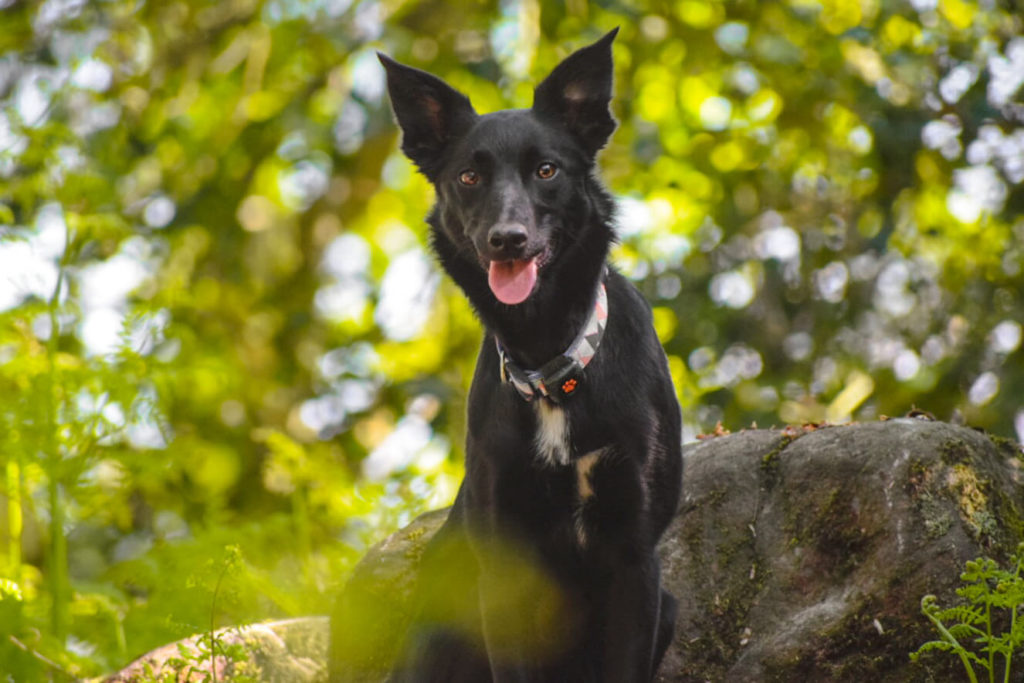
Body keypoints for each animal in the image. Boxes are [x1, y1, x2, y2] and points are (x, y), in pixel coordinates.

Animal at [344, 30, 679, 683]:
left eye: (547, 170)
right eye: (469, 177)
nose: (508, 240)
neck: (550, 360)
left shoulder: (634, 556)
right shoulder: (503, 569)